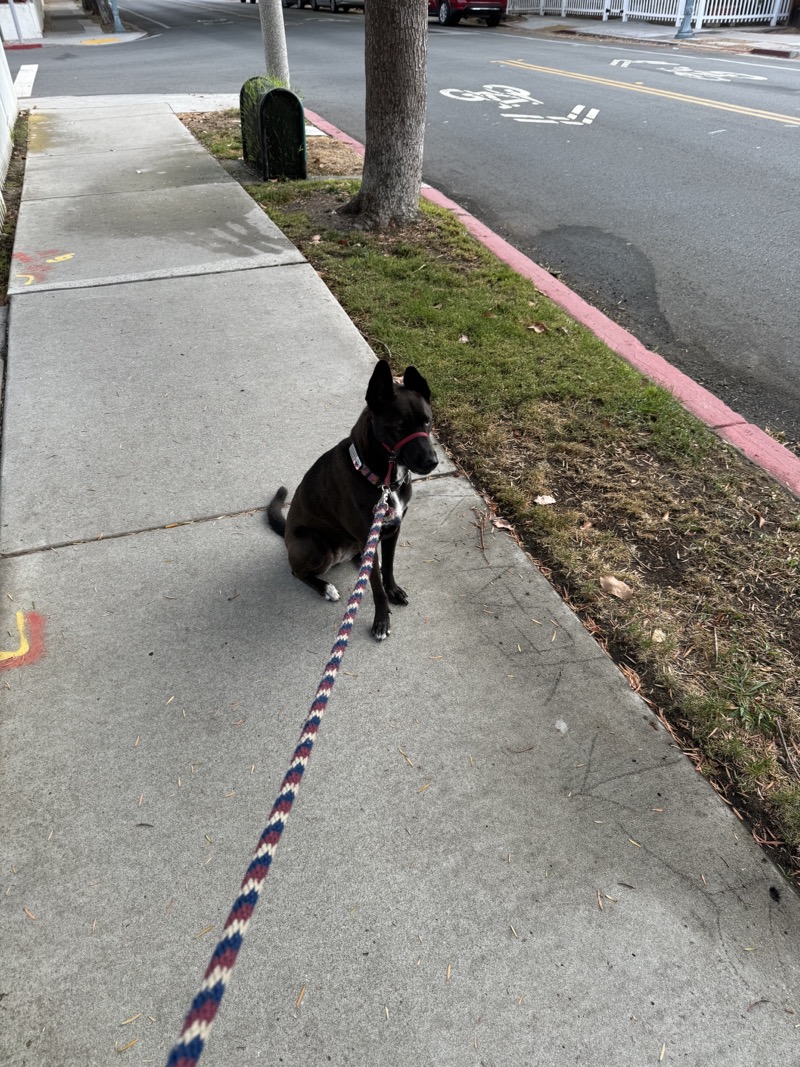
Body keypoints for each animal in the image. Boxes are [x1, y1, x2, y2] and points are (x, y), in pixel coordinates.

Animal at [267, 362, 439, 635]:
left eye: (428, 421)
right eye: (399, 426)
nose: (432, 462)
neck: (382, 480)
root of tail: (286, 535)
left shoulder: (393, 529)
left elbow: (387, 568)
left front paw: (393, 590)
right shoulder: (369, 534)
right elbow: (377, 588)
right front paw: (381, 620)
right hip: (314, 545)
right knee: (297, 572)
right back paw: (325, 587)